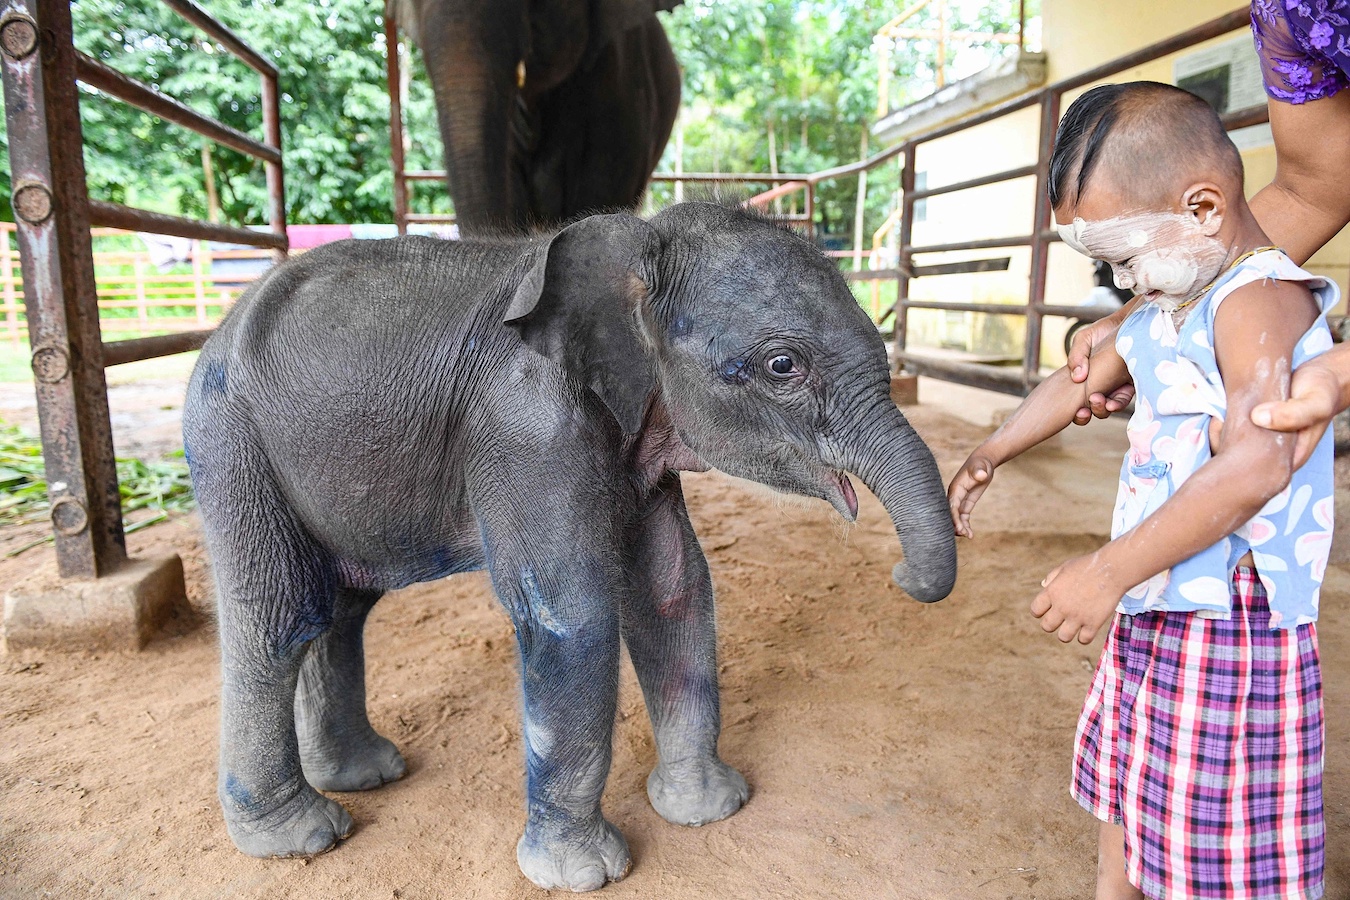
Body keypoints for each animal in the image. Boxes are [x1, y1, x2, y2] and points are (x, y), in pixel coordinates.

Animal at [182, 201, 961, 890]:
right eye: (782, 366)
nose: (902, 573)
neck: (638, 240)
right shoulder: (528, 428)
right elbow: (572, 614)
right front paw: (585, 875)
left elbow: (674, 588)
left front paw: (708, 811)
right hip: (230, 441)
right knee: (282, 617)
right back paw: (304, 835)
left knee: (342, 609)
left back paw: (368, 774)